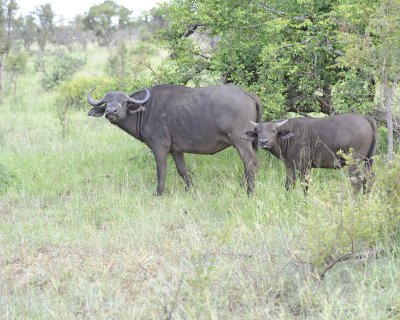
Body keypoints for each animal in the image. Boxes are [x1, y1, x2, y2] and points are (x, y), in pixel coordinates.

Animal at [87, 85, 262, 194]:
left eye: (123, 102)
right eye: (106, 102)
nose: (111, 112)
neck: (145, 111)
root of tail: (247, 94)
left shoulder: (159, 147)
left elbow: (161, 170)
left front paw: (159, 192)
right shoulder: (176, 150)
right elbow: (182, 170)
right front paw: (189, 189)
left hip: (241, 141)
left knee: (250, 163)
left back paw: (250, 191)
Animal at [241, 114, 378, 191]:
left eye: (274, 131)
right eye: (258, 131)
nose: (263, 142)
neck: (291, 136)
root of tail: (365, 118)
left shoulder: (304, 166)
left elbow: (305, 186)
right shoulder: (290, 167)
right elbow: (288, 185)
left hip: (354, 161)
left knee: (357, 181)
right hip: (368, 161)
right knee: (368, 179)